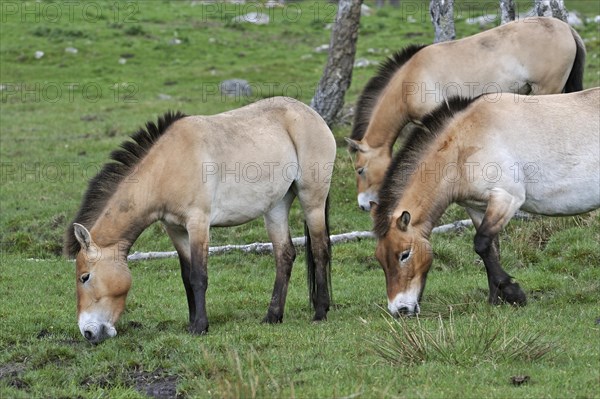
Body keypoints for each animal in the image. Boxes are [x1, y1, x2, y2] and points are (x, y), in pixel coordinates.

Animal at [67, 97, 338, 344]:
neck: (167, 166)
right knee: (285, 255)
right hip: (276, 207)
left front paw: (200, 326)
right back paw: (273, 316)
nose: (88, 333)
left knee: (320, 249)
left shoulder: (198, 223)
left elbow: (199, 276)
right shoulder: (175, 229)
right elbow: (187, 276)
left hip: (312, 200)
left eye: (85, 277)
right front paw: (191, 323)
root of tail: (312, 114)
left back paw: (320, 311)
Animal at [372, 89, 596, 318]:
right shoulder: (477, 208)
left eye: (404, 255)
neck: (464, 144)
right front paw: (495, 300)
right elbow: (491, 250)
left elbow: (481, 243)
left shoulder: (507, 198)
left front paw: (514, 294)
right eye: (380, 259)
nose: (399, 310)